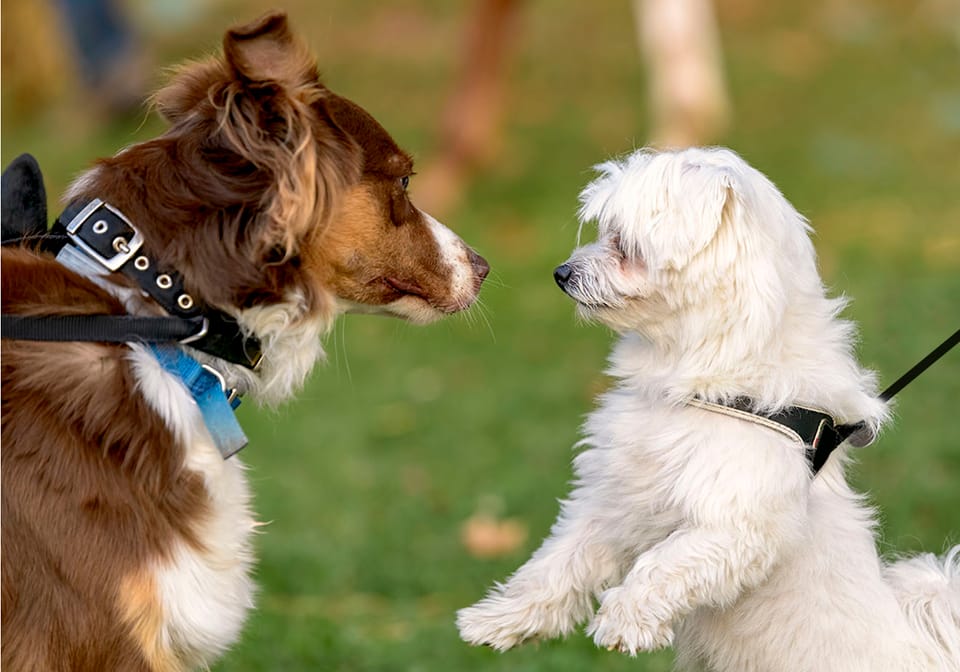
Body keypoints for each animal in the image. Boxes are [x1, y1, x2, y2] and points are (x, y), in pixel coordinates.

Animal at [460, 148, 960, 672]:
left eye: (625, 244)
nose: (561, 273)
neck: (704, 381)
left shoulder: (734, 526)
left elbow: (662, 565)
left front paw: (624, 621)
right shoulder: (615, 500)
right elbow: (559, 561)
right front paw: (498, 619)